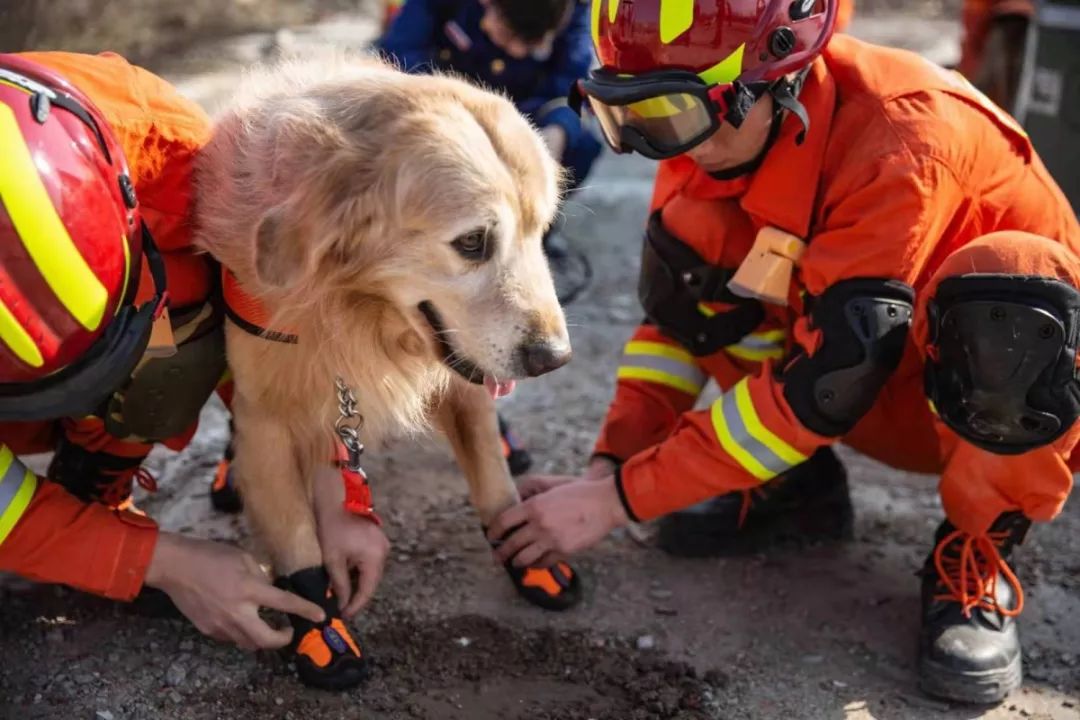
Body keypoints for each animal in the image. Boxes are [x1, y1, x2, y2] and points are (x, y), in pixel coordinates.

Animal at [197, 53, 578, 690]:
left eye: (541, 230)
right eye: (473, 242)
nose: (555, 359)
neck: (356, 307)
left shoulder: (462, 382)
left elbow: (494, 482)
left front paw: (529, 552)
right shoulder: (268, 416)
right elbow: (298, 545)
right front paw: (321, 632)